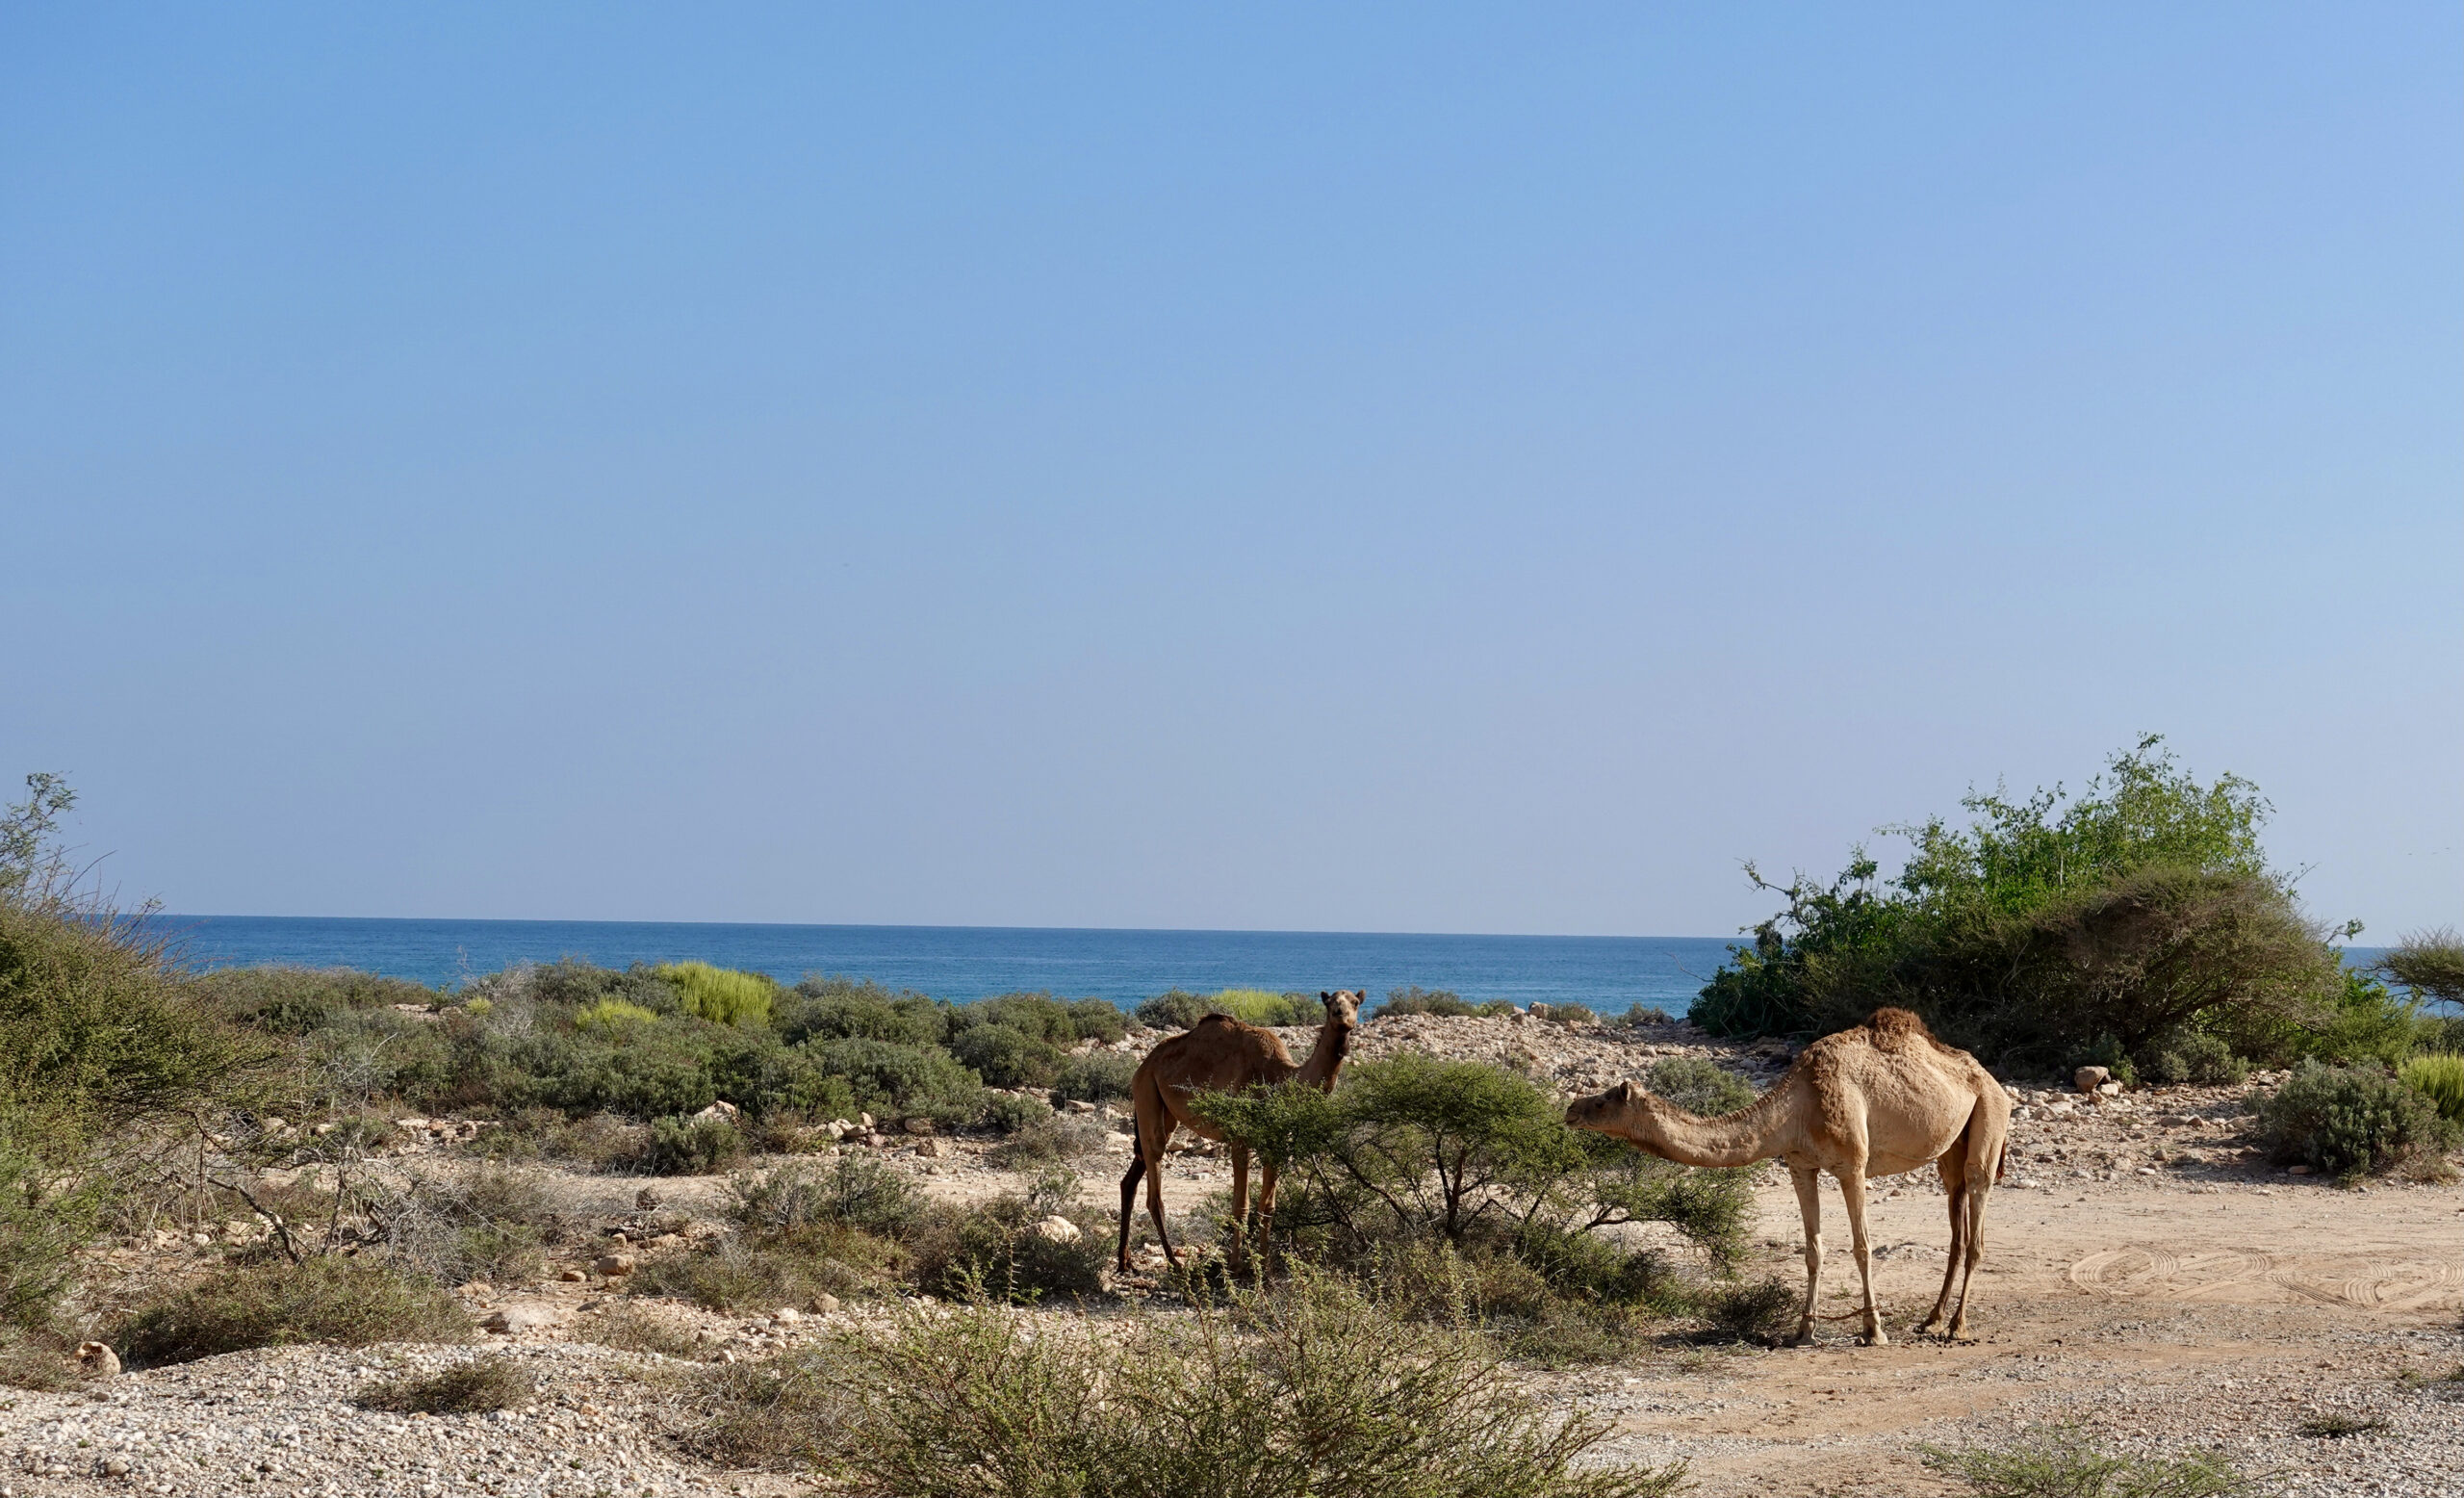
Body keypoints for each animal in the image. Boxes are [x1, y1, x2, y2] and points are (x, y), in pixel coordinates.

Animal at [1123, 990, 1370, 1271]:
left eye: (1355, 1003)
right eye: (1330, 1004)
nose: (1341, 1016)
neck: (1280, 1077)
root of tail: (1144, 1065)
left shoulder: (1276, 1141)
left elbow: (1268, 1206)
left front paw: (1265, 1265)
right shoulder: (1240, 1138)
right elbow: (1241, 1205)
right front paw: (1235, 1265)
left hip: (1164, 1109)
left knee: (1133, 1175)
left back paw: (1124, 1261)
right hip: (1146, 1090)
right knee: (1154, 1176)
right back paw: (1174, 1262)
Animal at [1567, 1005, 2010, 1350]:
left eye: (1604, 1100)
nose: (1571, 1108)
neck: (1798, 1105)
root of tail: (1993, 1081)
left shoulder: (1853, 1164)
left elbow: (1862, 1247)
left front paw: (1873, 1329)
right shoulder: (1801, 1166)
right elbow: (1813, 1249)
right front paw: (1802, 1331)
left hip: (1989, 1115)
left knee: (1977, 1206)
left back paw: (1956, 1327)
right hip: (1951, 1147)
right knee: (1956, 1212)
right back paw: (1932, 1320)